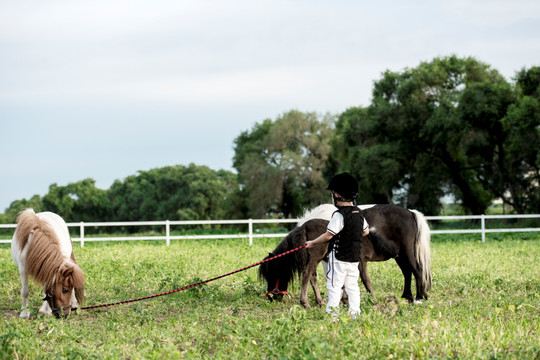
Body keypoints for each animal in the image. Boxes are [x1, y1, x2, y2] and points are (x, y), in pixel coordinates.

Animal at [260, 204, 432, 308]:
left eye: (272, 274)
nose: (271, 297)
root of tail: (410, 212)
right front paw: (340, 299)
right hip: (399, 255)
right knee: (407, 272)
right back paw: (407, 297)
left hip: (406, 252)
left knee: (417, 271)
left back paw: (418, 298)